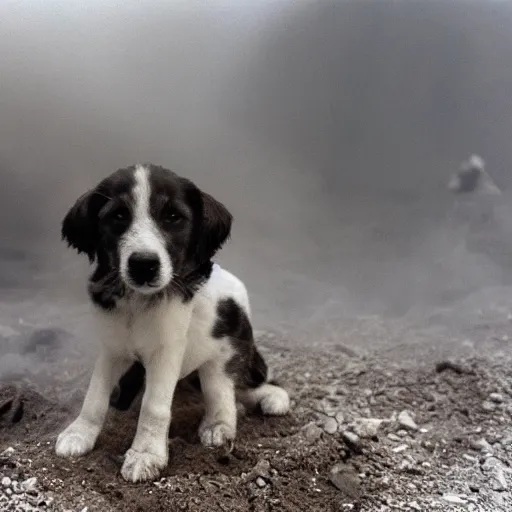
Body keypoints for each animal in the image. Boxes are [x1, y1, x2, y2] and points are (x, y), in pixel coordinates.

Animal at [56, 165, 290, 484]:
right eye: (118, 216)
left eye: (173, 217)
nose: (144, 265)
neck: (138, 303)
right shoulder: (112, 349)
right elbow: (95, 395)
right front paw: (80, 432)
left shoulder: (166, 353)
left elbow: (154, 406)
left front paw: (145, 454)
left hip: (224, 353)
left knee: (226, 391)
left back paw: (229, 419)